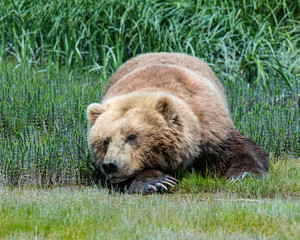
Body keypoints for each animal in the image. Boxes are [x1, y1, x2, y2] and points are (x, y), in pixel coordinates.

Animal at [86, 53, 270, 194]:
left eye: (132, 136)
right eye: (105, 141)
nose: (111, 164)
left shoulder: (211, 128)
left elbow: (241, 149)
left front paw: (243, 175)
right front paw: (158, 181)